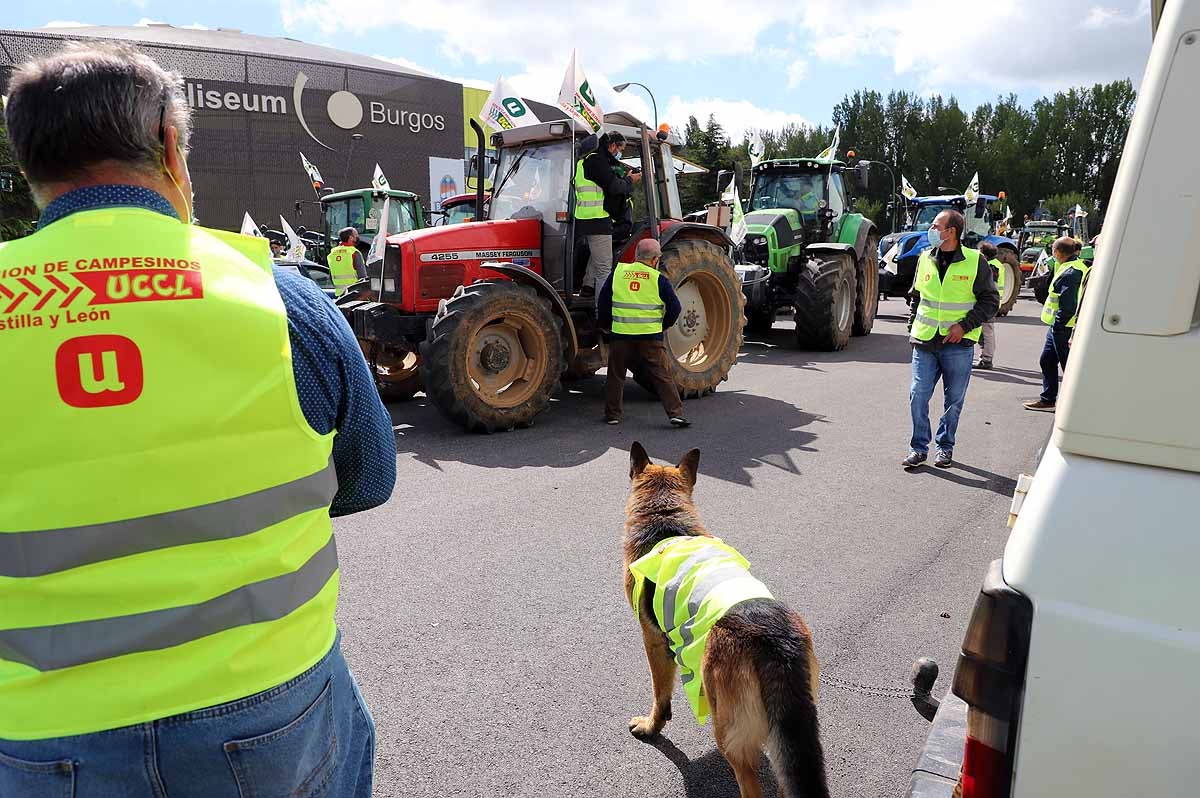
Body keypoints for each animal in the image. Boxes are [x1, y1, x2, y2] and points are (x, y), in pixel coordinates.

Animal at [619, 441, 825, 796]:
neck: (664, 516)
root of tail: (775, 642)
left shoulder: (654, 642)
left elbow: (660, 695)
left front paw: (651, 726)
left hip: (727, 733)